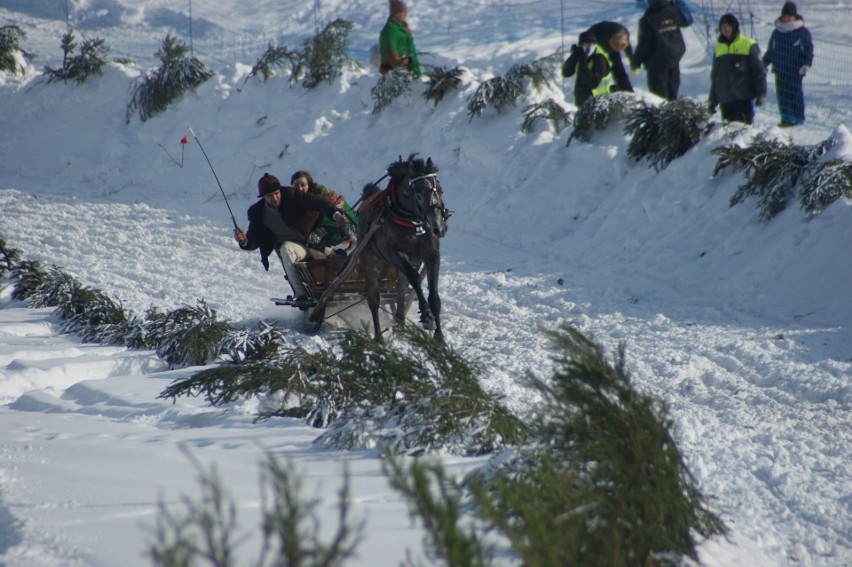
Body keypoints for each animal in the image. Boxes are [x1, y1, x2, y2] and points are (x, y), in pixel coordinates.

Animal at [356, 153, 450, 344]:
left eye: (441, 190)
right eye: (419, 194)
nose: (439, 228)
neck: (412, 224)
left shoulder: (432, 256)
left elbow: (433, 296)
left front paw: (439, 335)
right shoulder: (396, 255)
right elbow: (415, 279)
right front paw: (426, 315)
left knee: (400, 290)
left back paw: (400, 322)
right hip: (370, 261)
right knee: (374, 300)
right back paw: (379, 337)